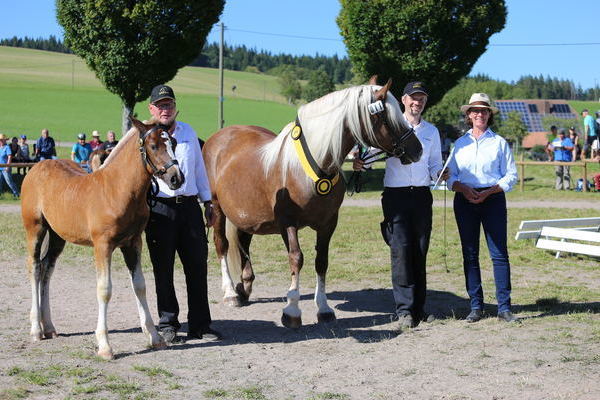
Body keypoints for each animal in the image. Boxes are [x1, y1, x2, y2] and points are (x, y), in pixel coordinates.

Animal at [20, 118, 183, 360]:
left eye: (173, 142)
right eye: (154, 146)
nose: (176, 178)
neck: (117, 190)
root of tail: (37, 168)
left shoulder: (133, 243)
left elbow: (140, 286)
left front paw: (155, 338)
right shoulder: (102, 245)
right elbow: (104, 290)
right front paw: (105, 346)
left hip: (58, 236)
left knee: (47, 268)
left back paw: (48, 326)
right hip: (35, 228)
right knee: (35, 267)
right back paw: (35, 329)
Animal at [204, 79, 424, 328]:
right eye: (387, 118)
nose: (418, 150)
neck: (315, 167)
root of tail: (217, 138)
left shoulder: (328, 223)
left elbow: (322, 261)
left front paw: (324, 308)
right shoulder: (287, 223)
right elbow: (296, 259)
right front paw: (291, 310)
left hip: (246, 215)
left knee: (242, 243)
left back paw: (244, 287)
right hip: (217, 208)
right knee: (222, 245)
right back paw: (231, 293)